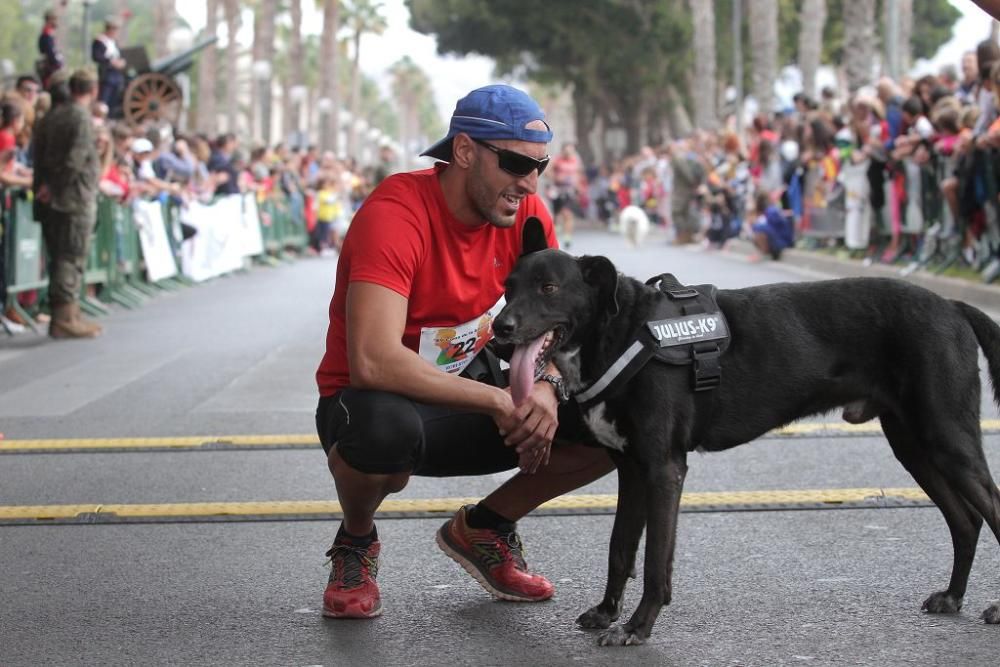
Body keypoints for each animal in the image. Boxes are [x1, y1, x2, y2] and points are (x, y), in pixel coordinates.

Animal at [492, 219, 1000, 648]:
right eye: (508, 287)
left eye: (549, 288)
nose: (499, 329)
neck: (622, 331)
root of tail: (951, 306)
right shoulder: (632, 470)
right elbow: (620, 549)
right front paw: (606, 612)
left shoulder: (664, 470)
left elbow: (656, 562)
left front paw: (637, 627)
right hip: (915, 445)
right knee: (966, 521)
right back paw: (953, 596)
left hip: (947, 436)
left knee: (989, 508)